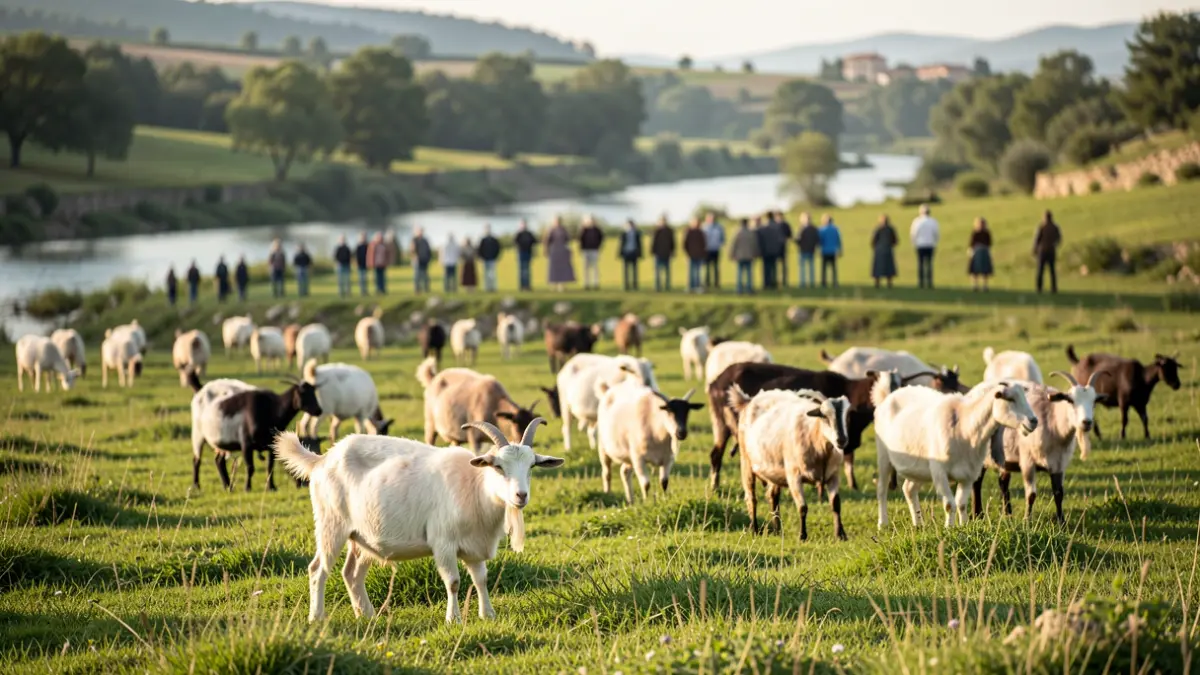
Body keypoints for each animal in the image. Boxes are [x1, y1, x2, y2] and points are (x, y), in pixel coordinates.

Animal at [275, 418, 562, 623]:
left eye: (532, 466)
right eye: (498, 466)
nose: (521, 495)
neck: (475, 485)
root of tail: (322, 460)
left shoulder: (474, 545)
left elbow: (481, 579)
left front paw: (488, 615)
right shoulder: (443, 542)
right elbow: (454, 582)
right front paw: (453, 619)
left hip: (361, 536)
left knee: (351, 573)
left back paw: (367, 615)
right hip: (330, 524)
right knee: (318, 570)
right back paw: (317, 618)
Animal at [726, 387, 851, 540]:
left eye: (847, 416)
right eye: (824, 416)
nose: (841, 440)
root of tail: (748, 400)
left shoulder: (833, 475)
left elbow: (836, 505)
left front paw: (840, 534)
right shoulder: (793, 475)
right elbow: (802, 507)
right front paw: (802, 536)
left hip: (774, 470)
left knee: (772, 497)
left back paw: (778, 530)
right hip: (746, 462)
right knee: (751, 498)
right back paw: (755, 529)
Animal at [875, 381, 1038, 528]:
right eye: (1010, 399)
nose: (1034, 421)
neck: (965, 427)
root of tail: (890, 396)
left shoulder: (969, 475)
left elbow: (962, 504)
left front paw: (963, 527)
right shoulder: (939, 472)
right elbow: (949, 504)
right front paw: (949, 529)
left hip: (919, 469)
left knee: (908, 489)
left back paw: (918, 524)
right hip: (883, 456)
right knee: (882, 490)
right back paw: (883, 524)